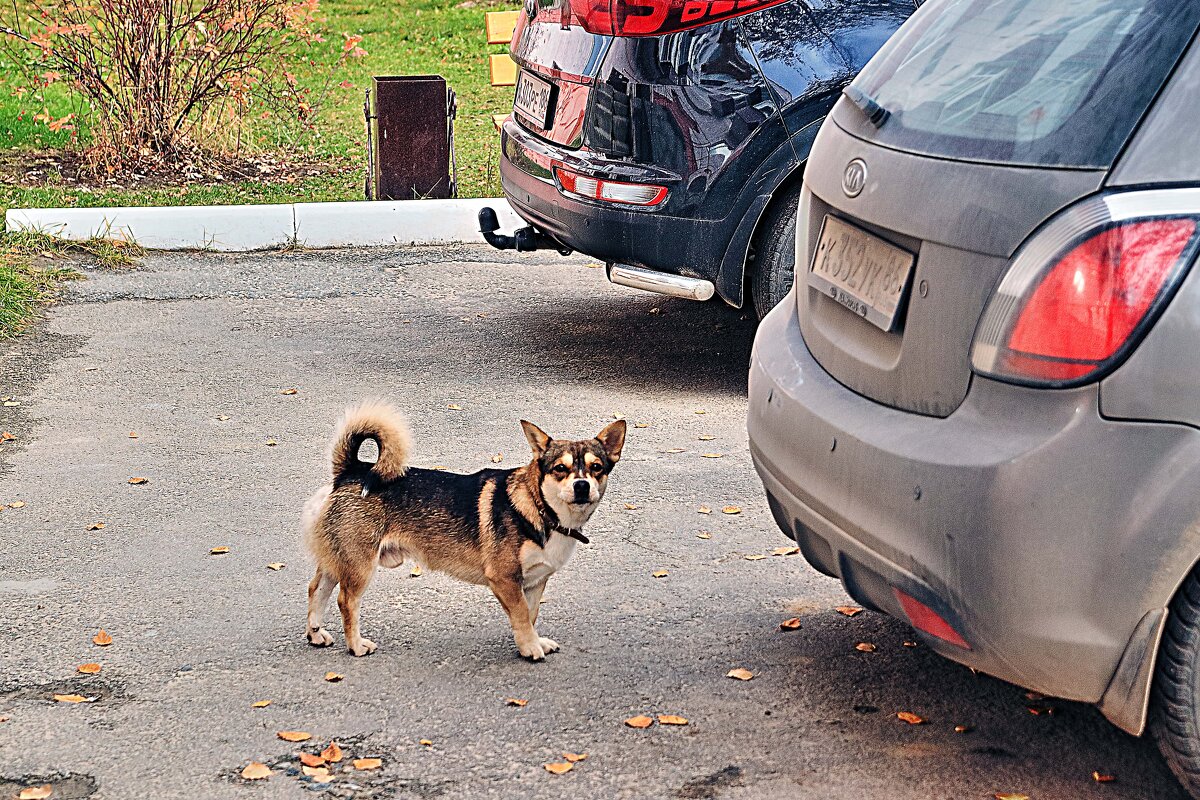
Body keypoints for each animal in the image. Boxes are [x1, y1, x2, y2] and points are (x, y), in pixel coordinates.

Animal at [300, 402, 628, 662]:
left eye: (596, 467)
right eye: (560, 468)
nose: (582, 486)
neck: (537, 507)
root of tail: (353, 470)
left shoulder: (534, 583)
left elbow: (530, 616)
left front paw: (533, 642)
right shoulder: (505, 580)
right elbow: (522, 617)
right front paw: (530, 648)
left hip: (339, 560)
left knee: (317, 589)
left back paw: (315, 633)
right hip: (359, 566)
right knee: (346, 602)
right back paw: (355, 645)